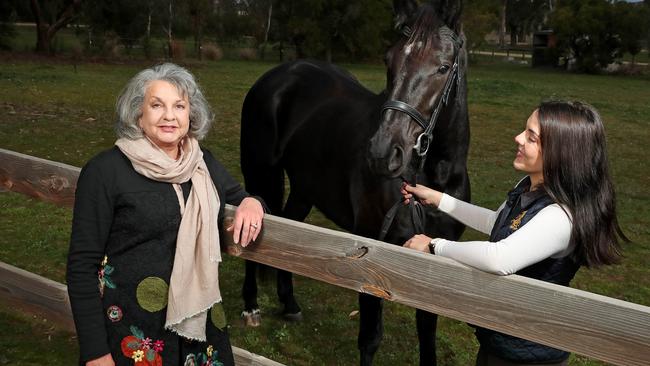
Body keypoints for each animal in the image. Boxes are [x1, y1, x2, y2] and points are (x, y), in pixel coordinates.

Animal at [238, 1, 466, 364]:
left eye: (443, 67)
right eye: (389, 60)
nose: (383, 152)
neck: (436, 178)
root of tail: (279, 74)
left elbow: (428, 338)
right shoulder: (372, 253)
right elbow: (370, 338)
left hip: (305, 189)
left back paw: (290, 304)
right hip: (260, 175)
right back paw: (251, 307)